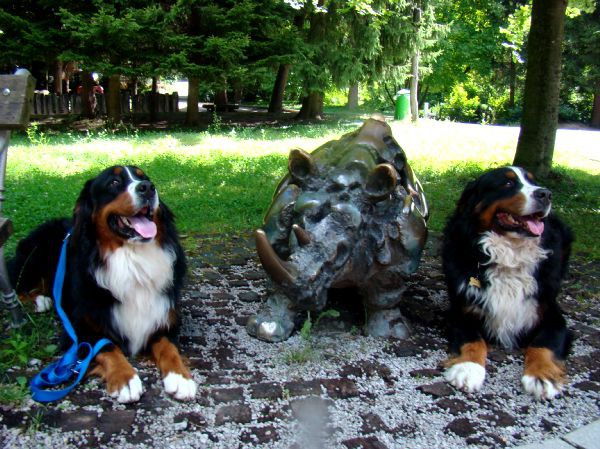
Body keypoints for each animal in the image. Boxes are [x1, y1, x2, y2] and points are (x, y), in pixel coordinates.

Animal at [9, 165, 197, 402]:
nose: (147, 188)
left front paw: (180, 378)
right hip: (32, 260)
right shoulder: (80, 329)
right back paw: (42, 300)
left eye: (144, 177)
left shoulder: (164, 319)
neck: (132, 259)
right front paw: (126, 379)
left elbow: (168, 348)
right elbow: (106, 347)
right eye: (114, 183)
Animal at [440, 165, 572, 400]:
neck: (510, 255)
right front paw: (468, 369)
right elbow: (472, 340)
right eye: (508, 183)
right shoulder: (461, 312)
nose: (545, 194)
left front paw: (542, 377)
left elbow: (544, 343)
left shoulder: (552, 315)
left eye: (532, 181)